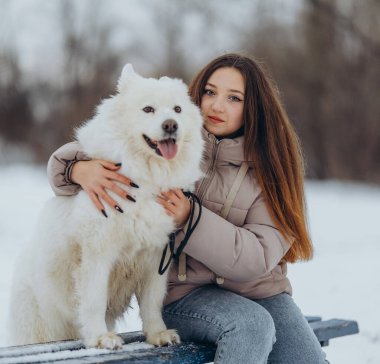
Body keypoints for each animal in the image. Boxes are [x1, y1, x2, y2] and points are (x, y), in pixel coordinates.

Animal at [7, 64, 205, 350]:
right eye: (148, 109)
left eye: (177, 109)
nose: (171, 125)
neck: (145, 179)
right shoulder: (97, 251)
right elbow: (94, 300)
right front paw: (101, 338)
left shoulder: (157, 253)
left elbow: (153, 301)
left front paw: (158, 334)